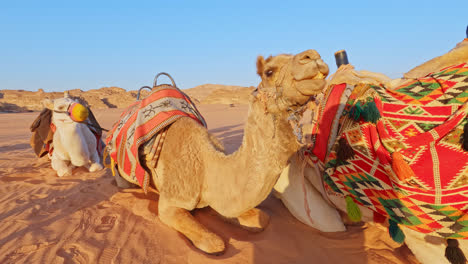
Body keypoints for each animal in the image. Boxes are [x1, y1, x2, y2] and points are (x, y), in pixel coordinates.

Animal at [106, 49, 330, 254]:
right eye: (269, 71)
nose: (313, 56)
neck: (207, 165)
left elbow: (262, 218)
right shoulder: (171, 203)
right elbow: (214, 244)